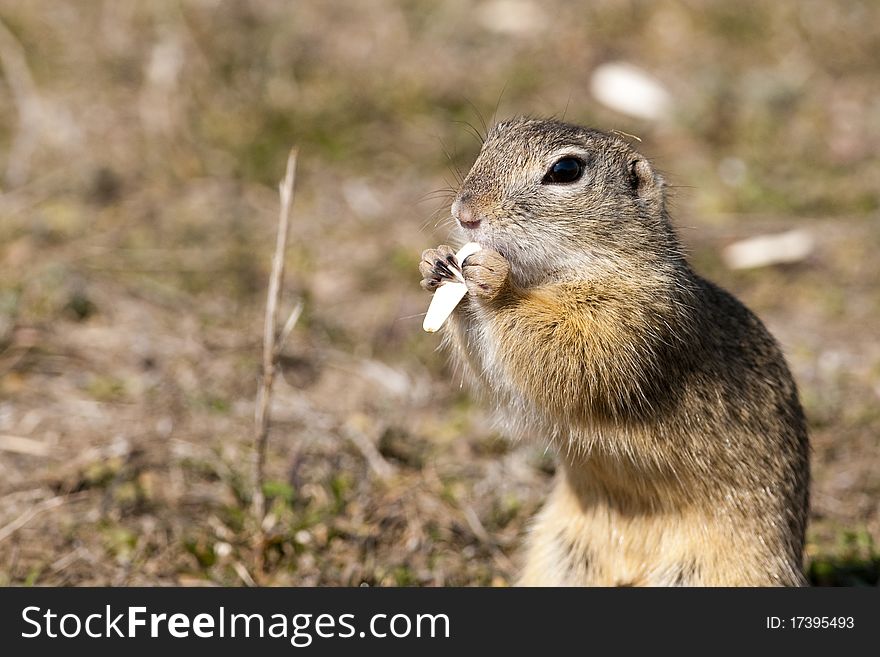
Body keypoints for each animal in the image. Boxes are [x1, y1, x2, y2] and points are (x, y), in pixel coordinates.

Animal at [420, 116, 812, 584]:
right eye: (495, 136)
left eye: (566, 170)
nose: (465, 213)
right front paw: (435, 259)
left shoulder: (633, 322)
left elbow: (572, 355)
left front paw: (495, 281)